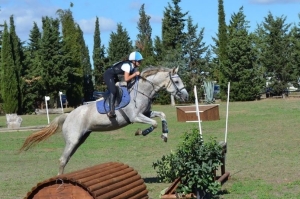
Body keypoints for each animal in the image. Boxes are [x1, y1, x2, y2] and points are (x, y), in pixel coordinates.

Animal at [18, 66, 189, 174]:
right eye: (177, 81)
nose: (186, 96)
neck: (142, 90)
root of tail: (68, 115)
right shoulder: (136, 117)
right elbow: (153, 123)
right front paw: (140, 132)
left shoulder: (146, 112)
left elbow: (162, 116)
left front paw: (165, 135)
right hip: (73, 140)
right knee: (62, 160)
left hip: (79, 141)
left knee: (66, 159)